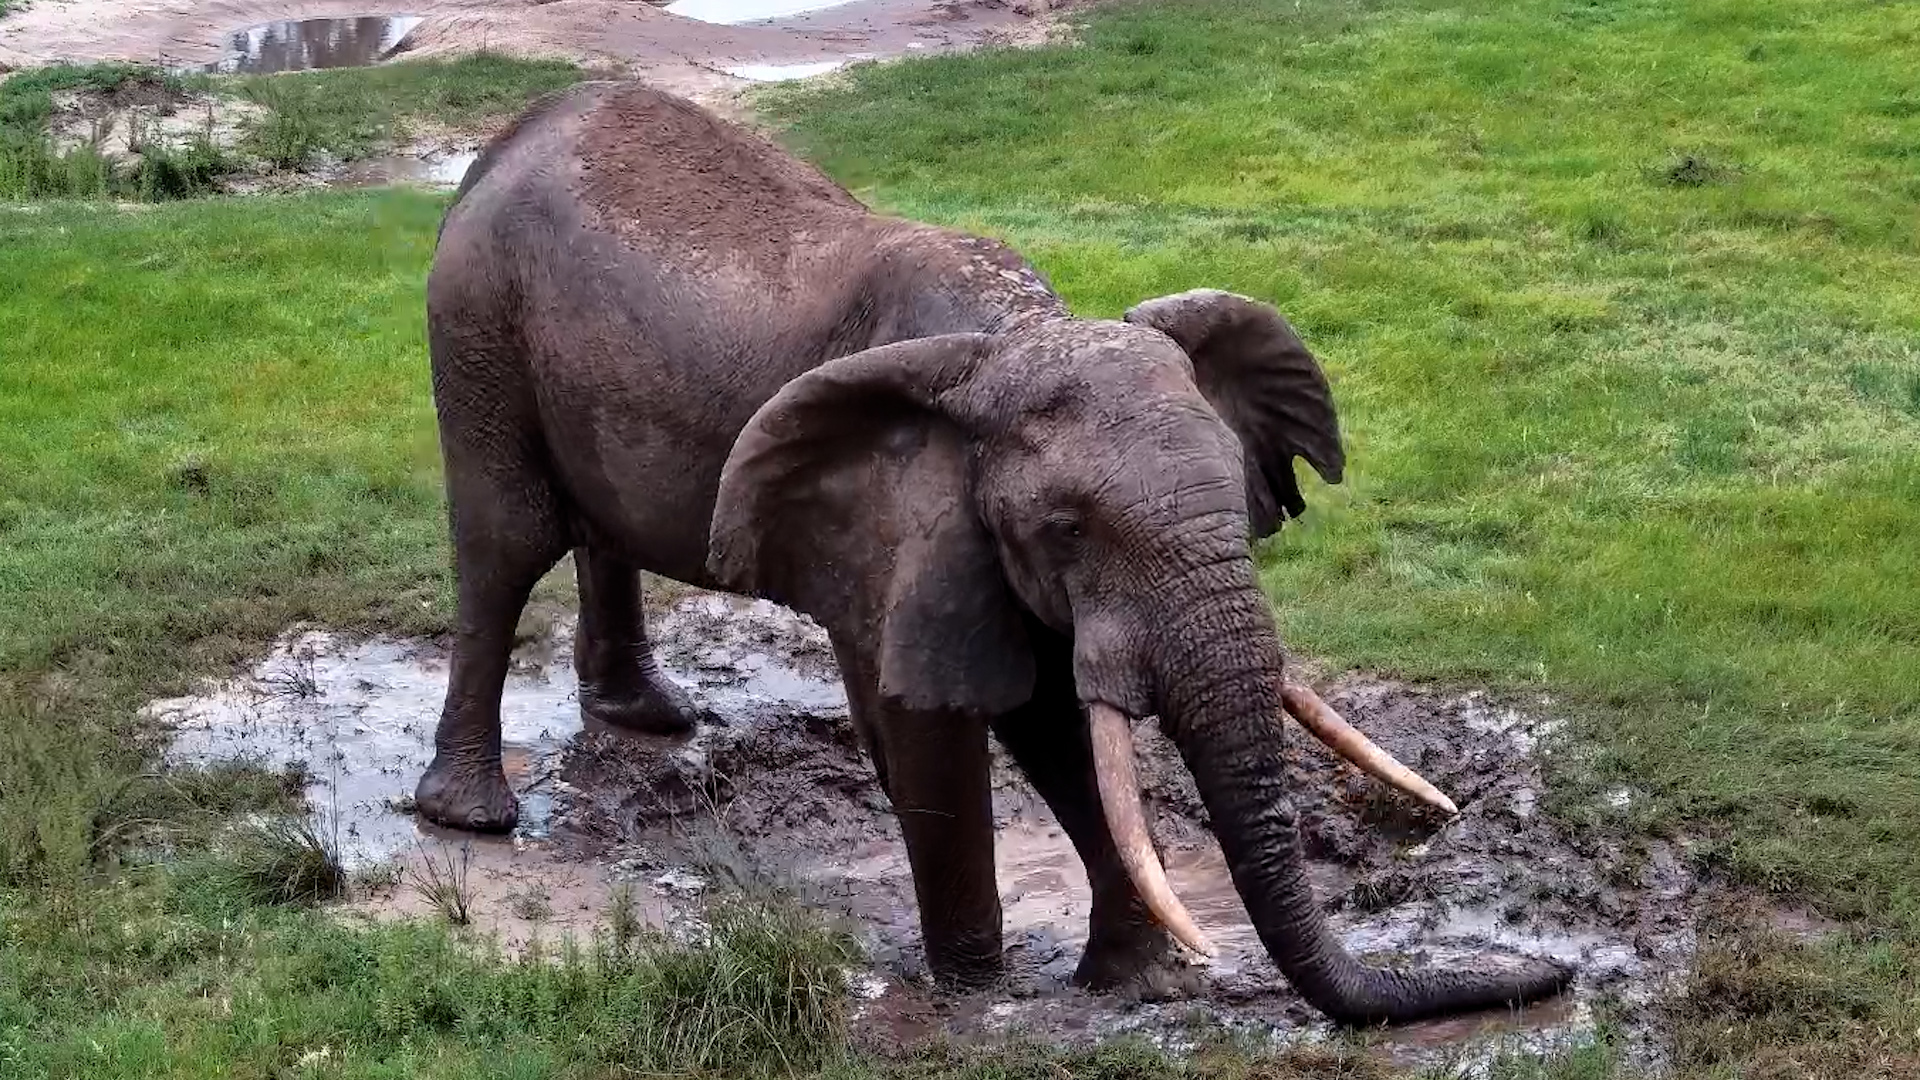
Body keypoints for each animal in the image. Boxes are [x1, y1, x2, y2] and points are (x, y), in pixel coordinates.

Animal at [415, 79, 1573, 1026]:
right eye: (1066, 530)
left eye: (1240, 509)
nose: (1550, 974)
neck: (1011, 334)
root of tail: (505, 142)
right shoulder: (913, 524)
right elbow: (940, 725)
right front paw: (977, 993)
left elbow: (1059, 719)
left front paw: (1134, 984)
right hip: (473, 322)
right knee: (508, 541)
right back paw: (473, 815)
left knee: (590, 528)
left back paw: (647, 717)